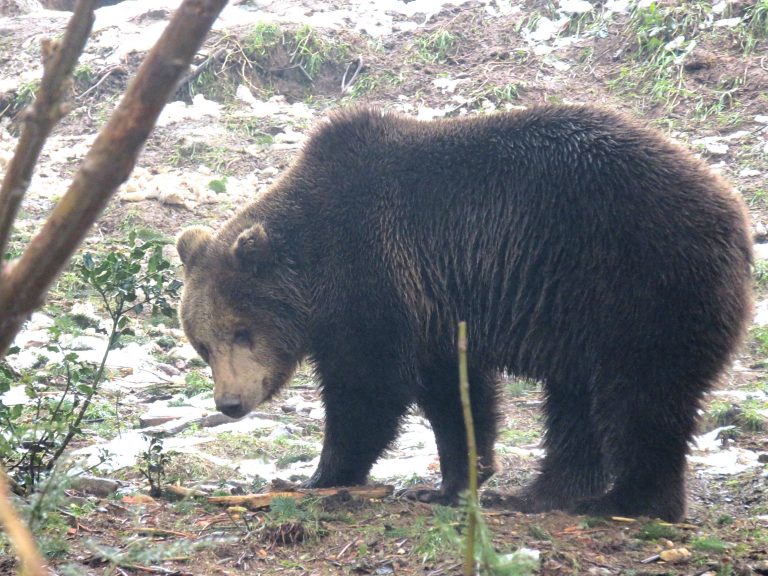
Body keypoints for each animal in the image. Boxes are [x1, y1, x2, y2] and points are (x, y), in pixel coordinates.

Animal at [176, 105, 752, 522]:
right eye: (203, 343)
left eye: (242, 332)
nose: (229, 402)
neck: (316, 270)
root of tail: (736, 213)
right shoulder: (433, 308)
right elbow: (457, 395)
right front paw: (454, 480)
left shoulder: (375, 278)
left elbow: (369, 389)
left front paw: (321, 474)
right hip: (589, 318)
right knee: (579, 405)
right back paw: (544, 492)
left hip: (638, 286)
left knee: (640, 398)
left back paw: (625, 501)